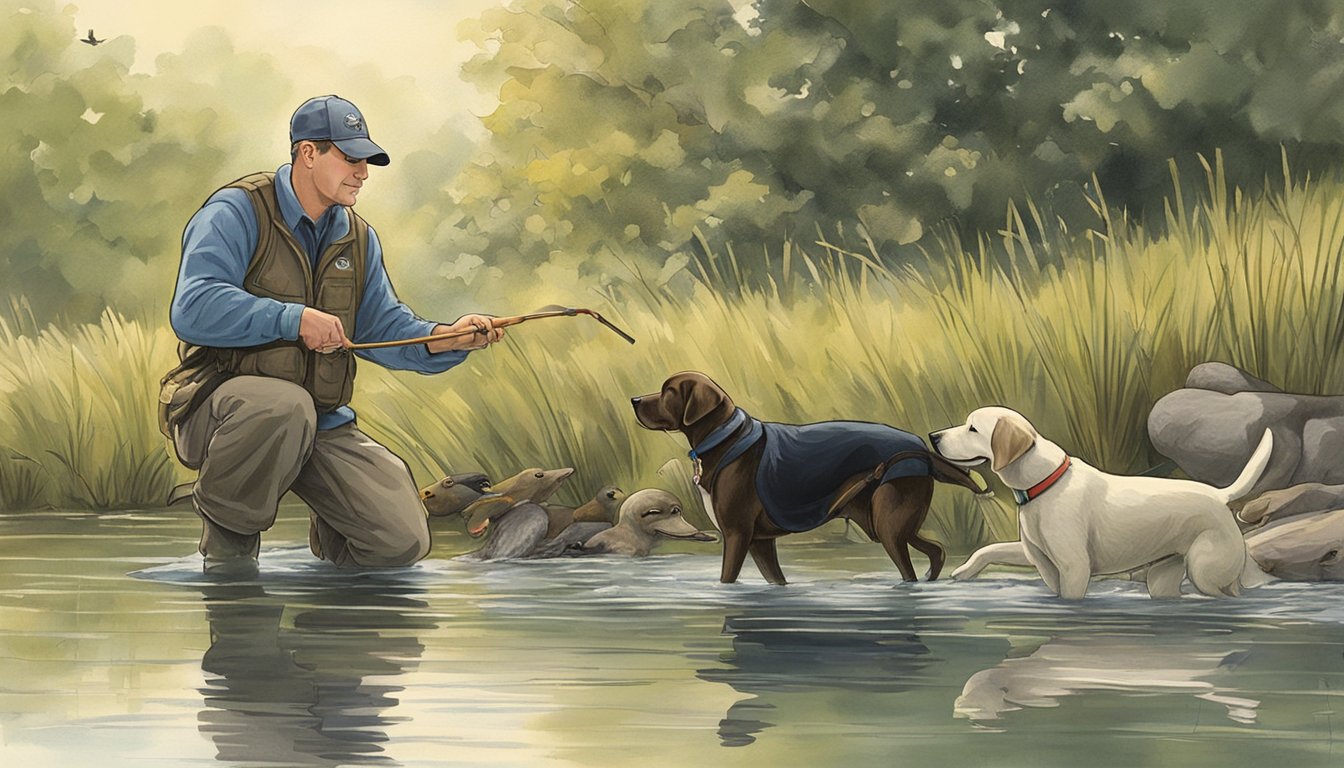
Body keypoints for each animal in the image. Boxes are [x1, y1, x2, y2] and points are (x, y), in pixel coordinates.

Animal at [930, 408, 1274, 599]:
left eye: (973, 428)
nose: (933, 436)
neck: (1045, 483)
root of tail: (1219, 495)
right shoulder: (1037, 557)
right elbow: (990, 548)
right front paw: (964, 571)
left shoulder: (1074, 568)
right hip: (1162, 578)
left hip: (1205, 570)